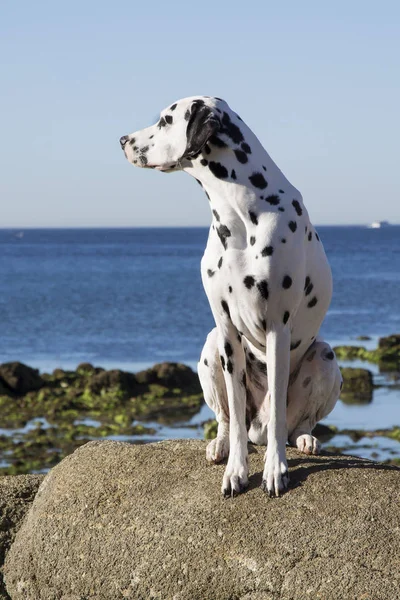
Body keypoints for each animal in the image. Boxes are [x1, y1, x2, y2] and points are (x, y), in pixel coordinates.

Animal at [119, 96, 340, 496]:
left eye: (165, 120)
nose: (122, 140)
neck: (238, 214)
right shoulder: (226, 332)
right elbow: (235, 414)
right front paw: (237, 471)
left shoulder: (277, 328)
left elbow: (279, 416)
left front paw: (275, 470)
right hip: (209, 350)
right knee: (226, 418)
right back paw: (220, 445)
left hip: (326, 357)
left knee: (296, 423)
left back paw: (304, 439)